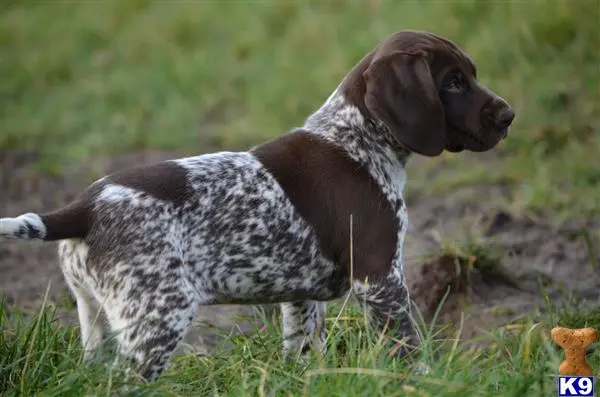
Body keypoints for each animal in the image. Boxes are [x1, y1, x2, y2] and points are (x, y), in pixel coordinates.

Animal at [1, 30, 516, 378]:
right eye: (453, 83)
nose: (510, 115)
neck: (356, 138)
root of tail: (84, 206)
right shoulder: (380, 280)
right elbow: (406, 349)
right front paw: (423, 381)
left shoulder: (301, 296)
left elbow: (303, 351)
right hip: (157, 318)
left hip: (95, 318)